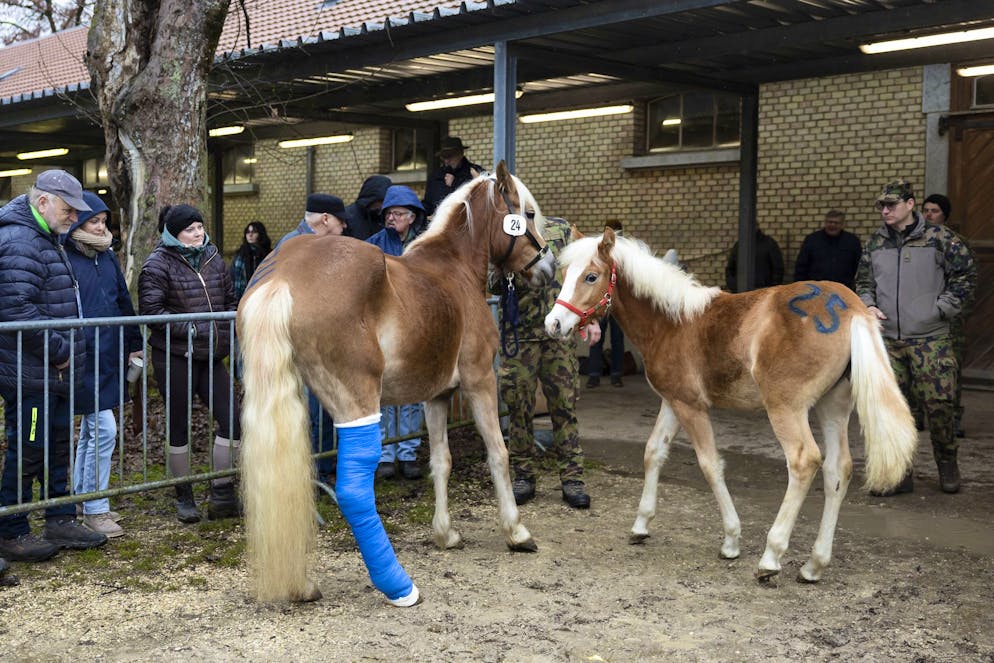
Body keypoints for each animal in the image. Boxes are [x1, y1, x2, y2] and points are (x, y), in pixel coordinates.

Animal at [237, 162, 556, 603]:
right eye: (526, 213)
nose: (548, 267)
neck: (454, 269)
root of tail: (284, 274)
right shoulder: (479, 380)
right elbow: (498, 453)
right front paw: (516, 530)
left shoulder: (436, 396)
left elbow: (441, 461)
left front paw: (445, 533)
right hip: (357, 400)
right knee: (354, 488)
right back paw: (398, 585)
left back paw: (300, 584)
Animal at [545, 229, 916, 583]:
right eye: (564, 273)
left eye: (591, 276)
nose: (553, 324)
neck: (672, 322)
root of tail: (851, 309)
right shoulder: (672, 401)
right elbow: (654, 452)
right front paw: (641, 525)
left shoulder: (692, 407)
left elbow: (710, 465)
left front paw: (731, 541)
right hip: (832, 409)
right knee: (838, 470)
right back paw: (814, 565)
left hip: (786, 409)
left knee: (804, 462)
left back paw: (770, 558)